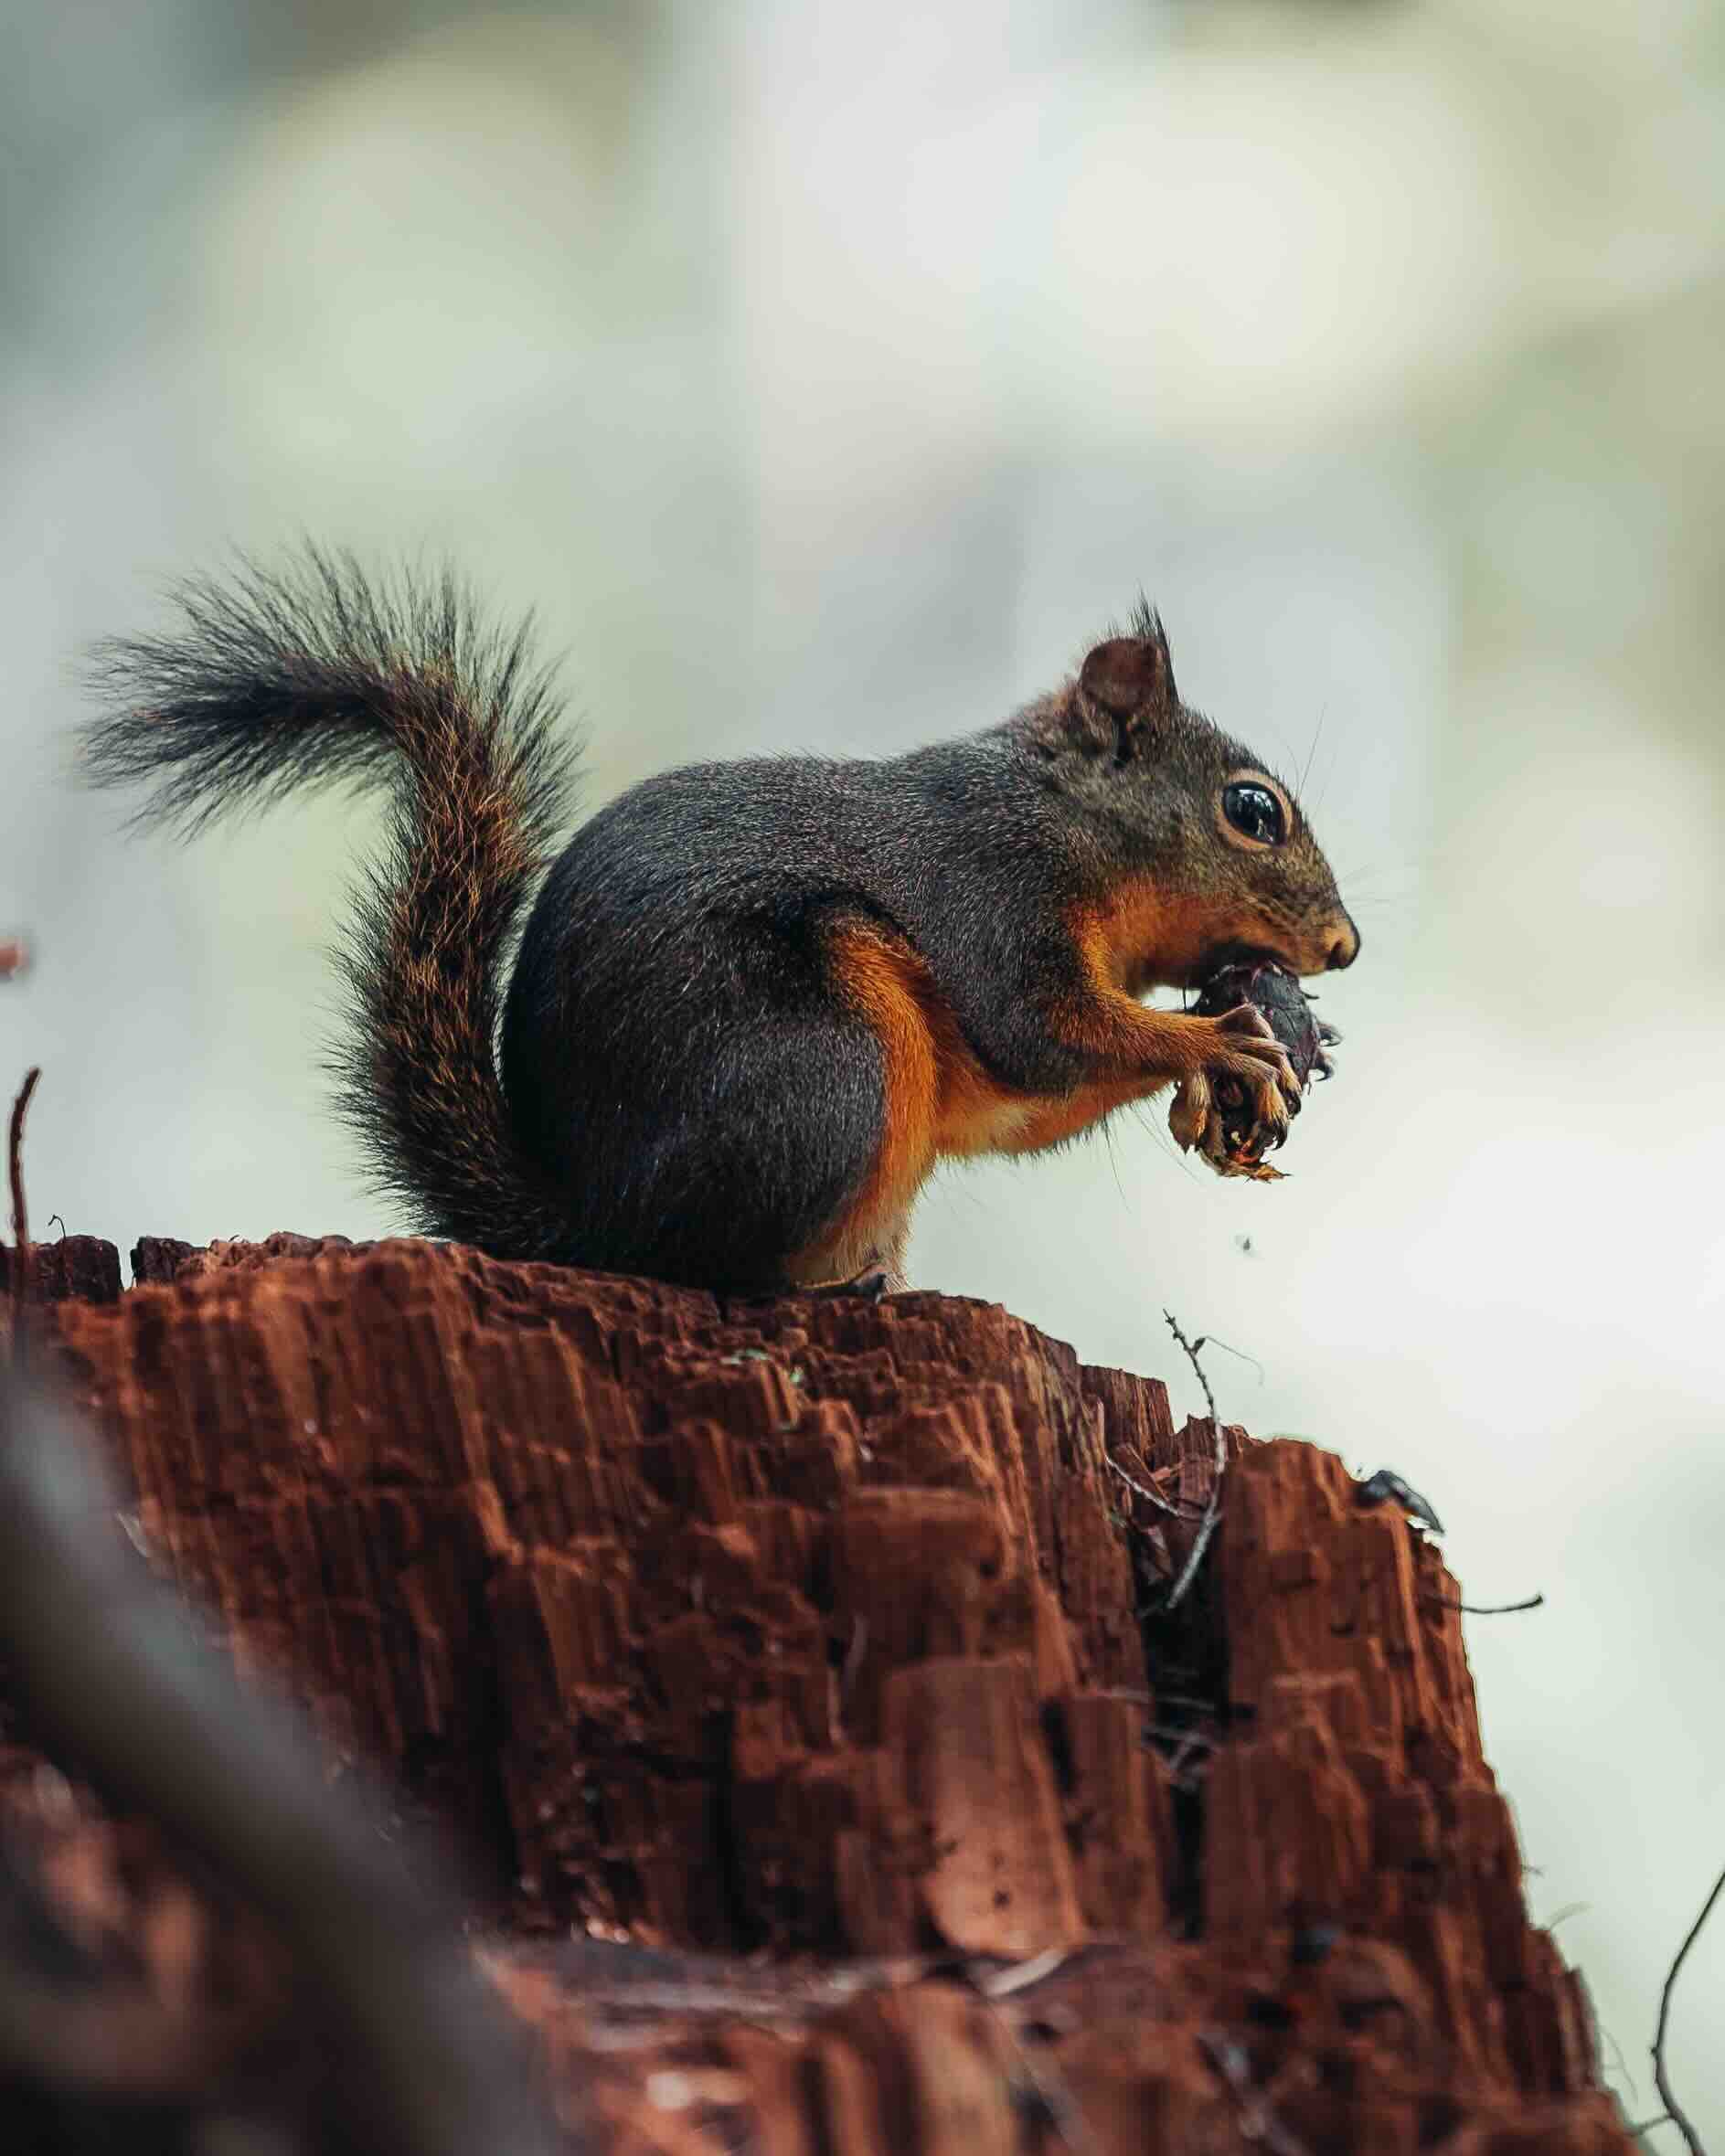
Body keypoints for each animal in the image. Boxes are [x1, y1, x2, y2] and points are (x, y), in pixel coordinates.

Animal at [83, 547, 1359, 1295]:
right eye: (1252, 811)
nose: (1343, 948)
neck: (1065, 817)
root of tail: (596, 1218)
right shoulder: (994, 895)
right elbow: (1041, 1034)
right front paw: (1218, 1043)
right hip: (830, 1068)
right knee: (720, 1271)